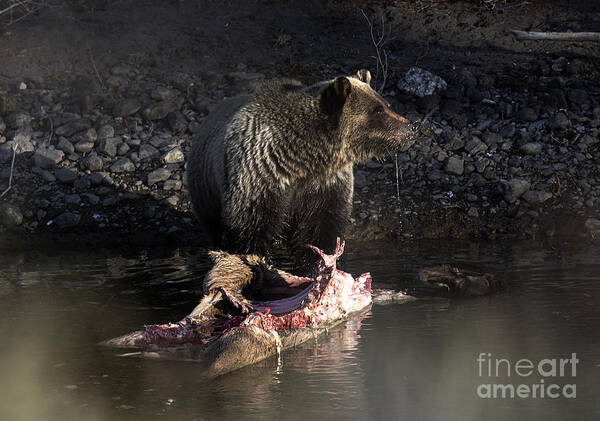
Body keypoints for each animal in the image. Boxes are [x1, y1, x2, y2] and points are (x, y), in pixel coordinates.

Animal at [188, 69, 418, 266]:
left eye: (386, 104)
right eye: (378, 110)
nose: (411, 127)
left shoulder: (325, 182)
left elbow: (320, 229)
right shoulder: (260, 176)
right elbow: (250, 227)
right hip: (205, 190)